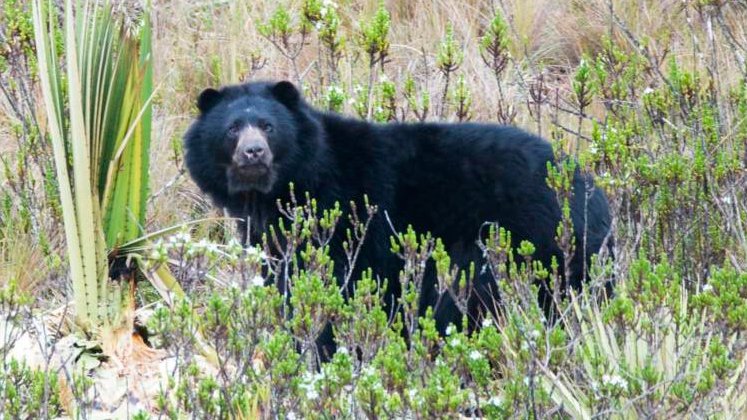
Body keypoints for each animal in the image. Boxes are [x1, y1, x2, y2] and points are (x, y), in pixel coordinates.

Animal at [183, 77, 612, 350]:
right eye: (232, 129)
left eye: (268, 126)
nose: (253, 153)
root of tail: (590, 190)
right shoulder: (272, 236)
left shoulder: (343, 219)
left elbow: (337, 284)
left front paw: (323, 346)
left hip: (530, 242)